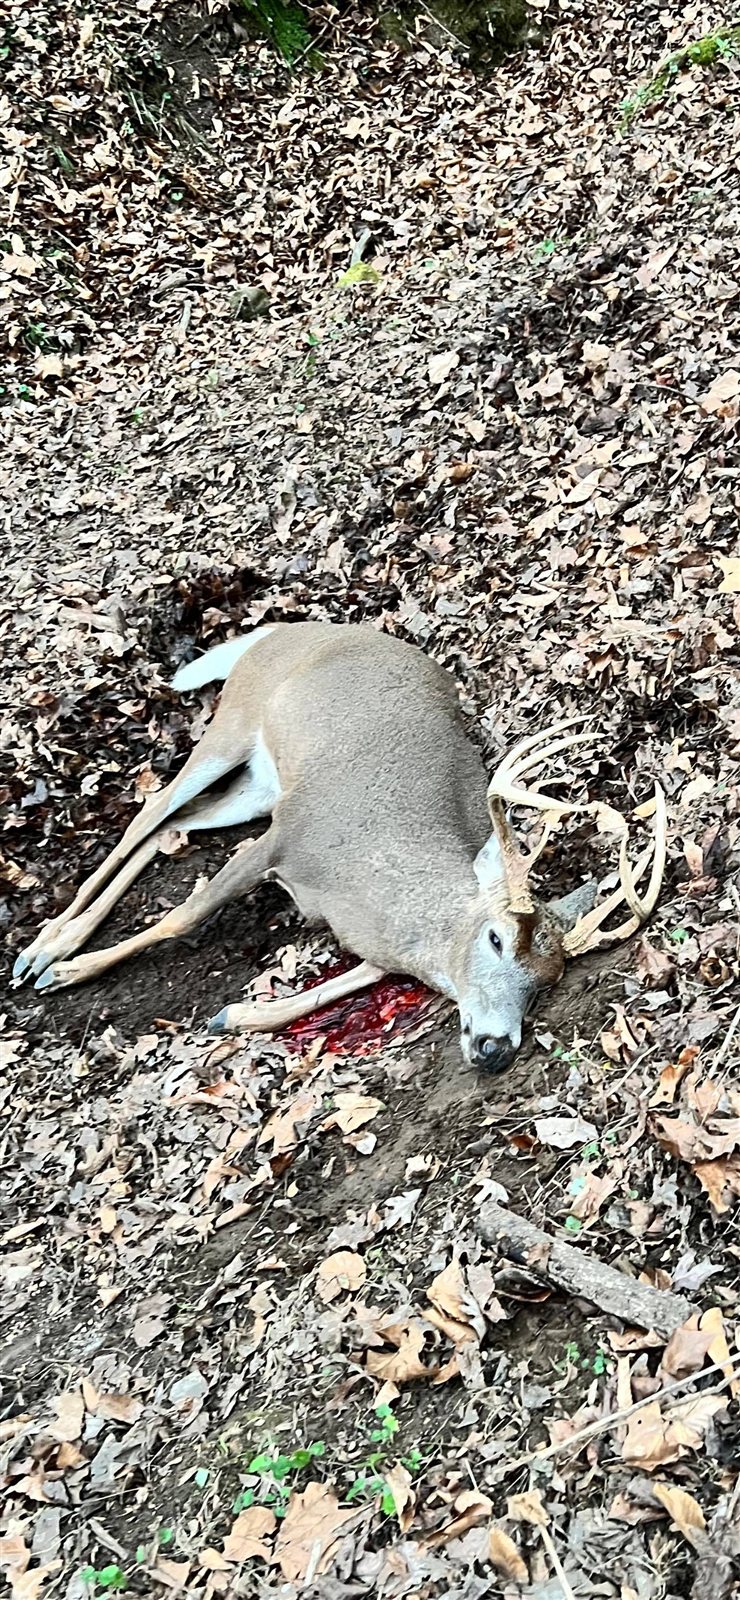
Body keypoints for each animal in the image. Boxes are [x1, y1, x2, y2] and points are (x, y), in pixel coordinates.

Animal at [13, 623, 666, 1071]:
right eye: (496, 937)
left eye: (546, 982)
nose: (495, 1046)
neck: (364, 878)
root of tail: (282, 628)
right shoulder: (285, 836)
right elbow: (183, 916)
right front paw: (72, 971)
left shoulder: (369, 938)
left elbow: (333, 988)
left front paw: (235, 1015)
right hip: (234, 726)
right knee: (150, 811)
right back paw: (46, 952)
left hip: (258, 787)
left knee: (176, 823)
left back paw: (48, 946)